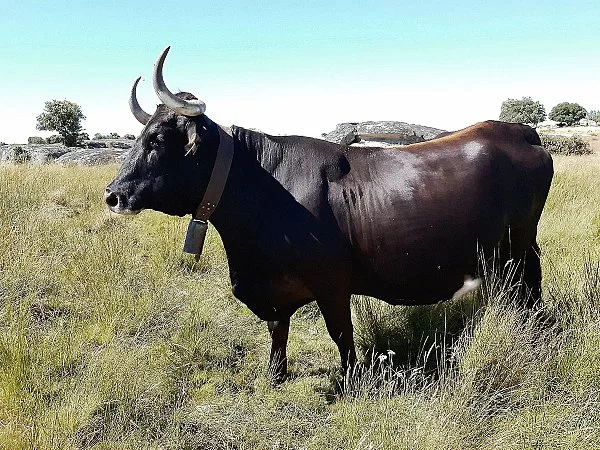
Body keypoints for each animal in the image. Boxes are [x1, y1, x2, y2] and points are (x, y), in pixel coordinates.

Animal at [106, 47, 552, 380]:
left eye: (157, 139)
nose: (112, 195)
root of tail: (517, 130)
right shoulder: (276, 288)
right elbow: (278, 328)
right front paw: (275, 375)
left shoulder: (332, 282)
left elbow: (340, 333)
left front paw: (352, 380)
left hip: (516, 248)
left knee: (525, 290)